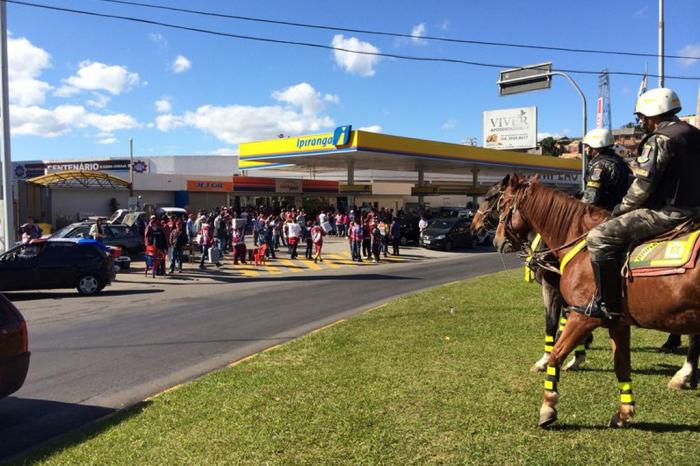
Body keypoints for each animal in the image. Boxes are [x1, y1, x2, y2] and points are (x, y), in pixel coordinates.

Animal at [492, 176, 700, 430]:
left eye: (502, 205)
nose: (497, 240)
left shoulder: (582, 316)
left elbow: (556, 352)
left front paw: (548, 406)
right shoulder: (617, 323)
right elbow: (622, 364)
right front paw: (624, 412)